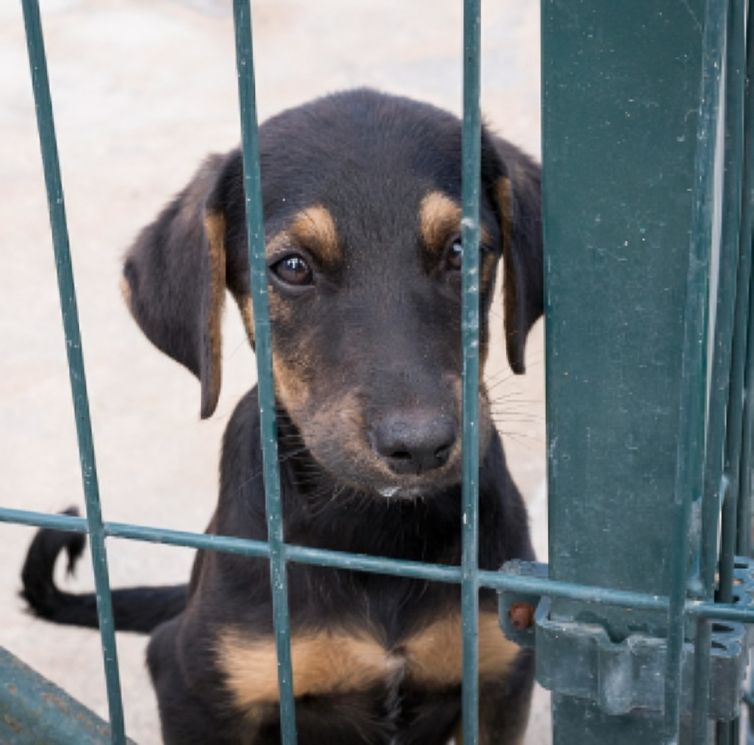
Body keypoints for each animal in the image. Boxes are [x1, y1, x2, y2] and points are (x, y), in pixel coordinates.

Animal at [22, 88, 540, 744]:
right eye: (292, 268)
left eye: (462, 251)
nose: (420, 445)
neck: (372, 534)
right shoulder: (194, 679)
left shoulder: (501, 676)